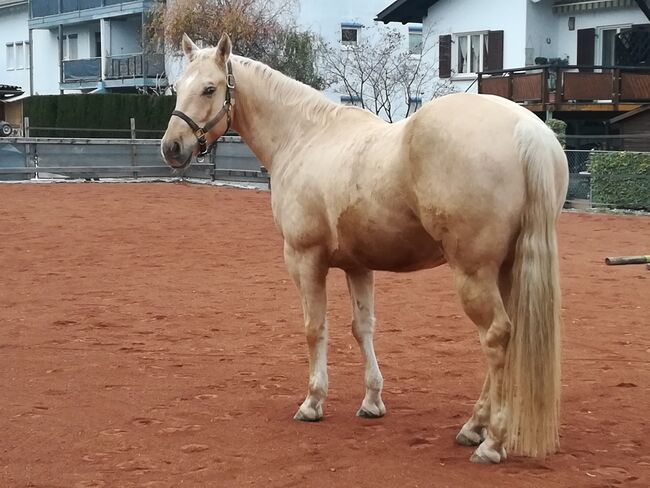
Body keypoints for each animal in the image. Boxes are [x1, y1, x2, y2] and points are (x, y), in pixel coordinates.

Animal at [162, 32, 568, 464]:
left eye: (210, 88)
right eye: (178, 86)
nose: (172, 147)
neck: (304, 137)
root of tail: (526, 129)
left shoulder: (305, 259)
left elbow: (314, 328)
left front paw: (313, 402)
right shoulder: (358, 266)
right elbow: (363, 328)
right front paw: (372, 401)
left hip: (473, 272)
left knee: (495, 337)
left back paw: (491, 441)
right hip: (507, 269)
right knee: (508, 336)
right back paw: (475, 428)